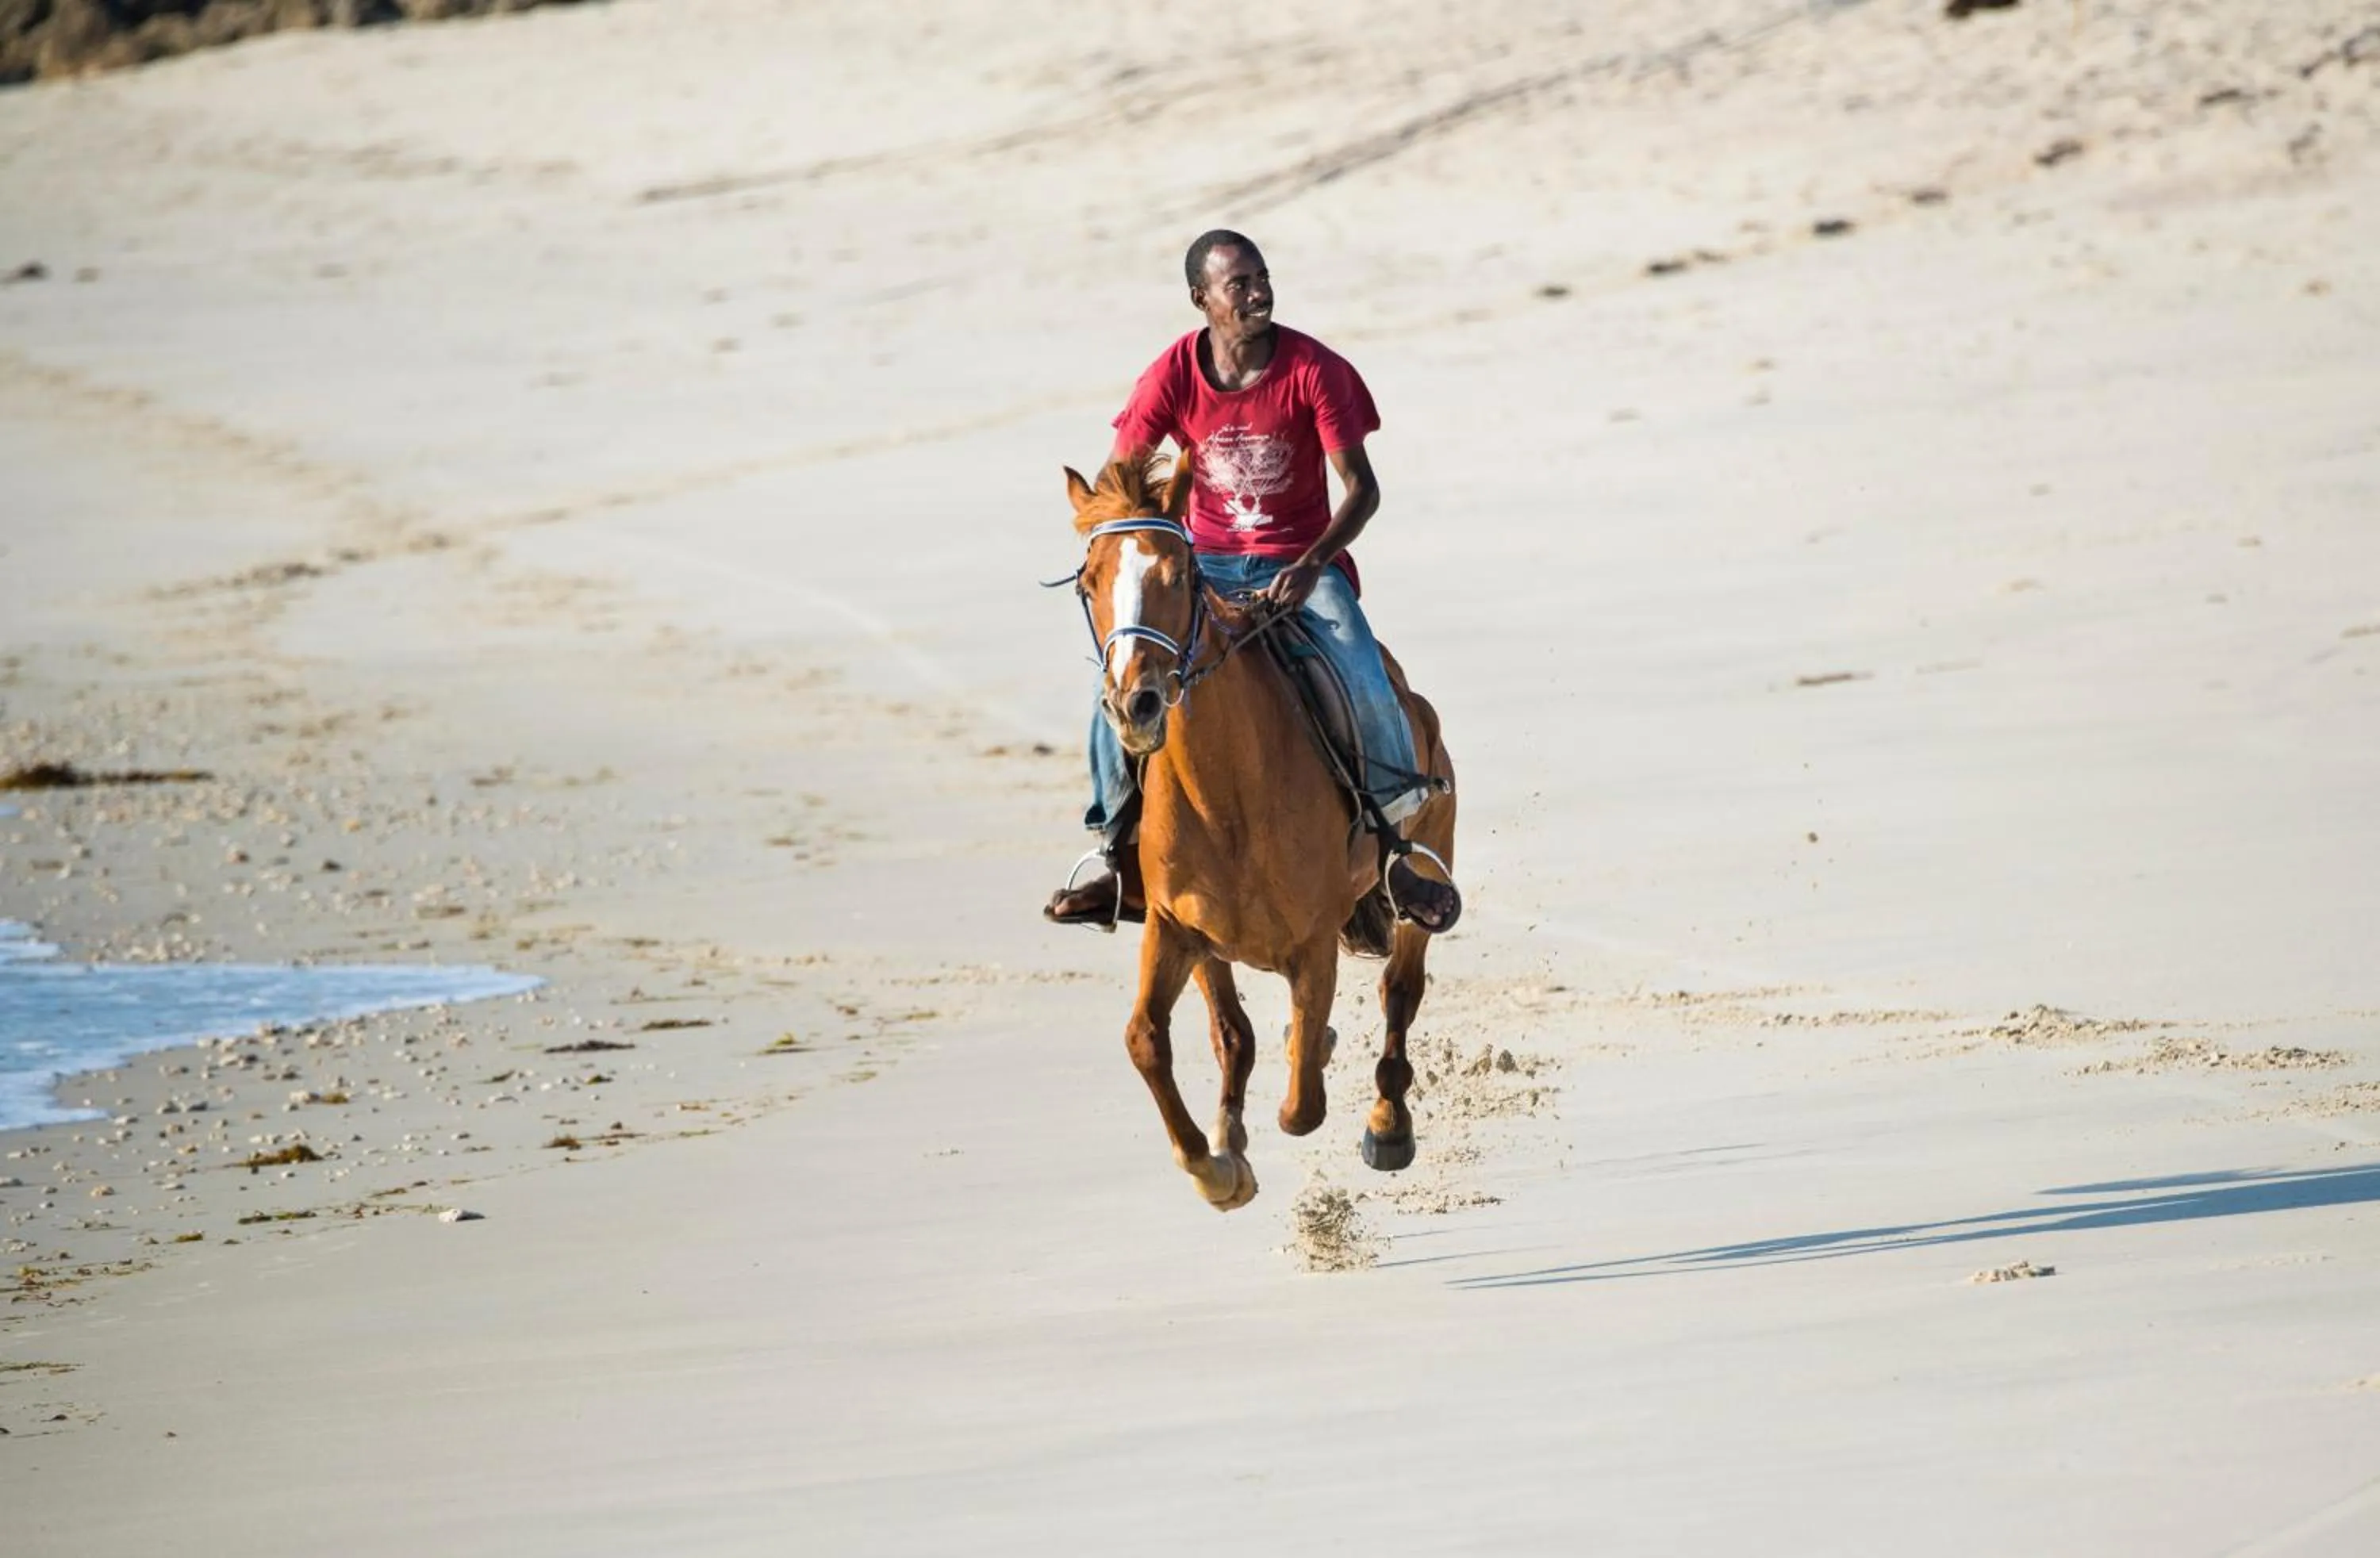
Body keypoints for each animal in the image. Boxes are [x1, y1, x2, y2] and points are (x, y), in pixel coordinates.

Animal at [1060, 452, 1459, 1211]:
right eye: (1089, 583)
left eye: (1180, 577)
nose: (1136, 704)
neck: (1227, 799)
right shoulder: (1173, 925)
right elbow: (1155, 1038)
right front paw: (1217, 1167)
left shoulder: (1313, 943)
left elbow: (1302, 1101)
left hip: (1427, 862)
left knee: (1400, 987)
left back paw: (1387, 1126)